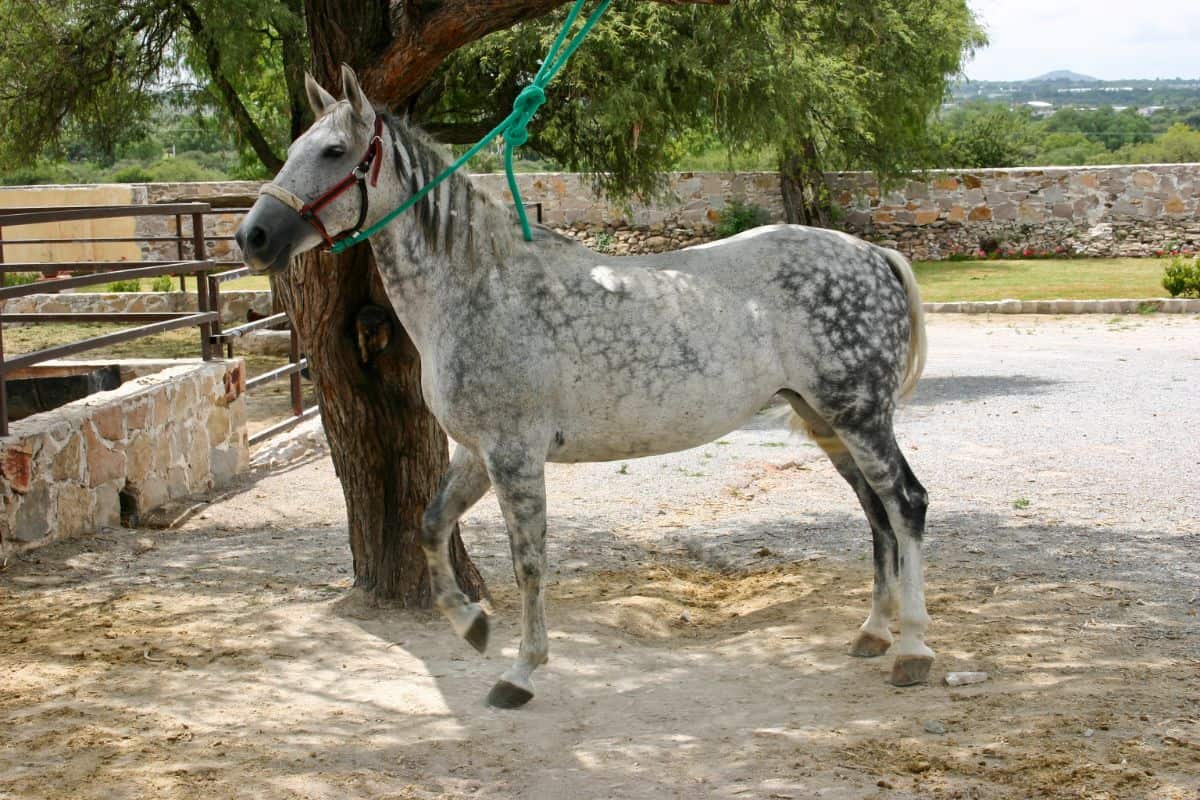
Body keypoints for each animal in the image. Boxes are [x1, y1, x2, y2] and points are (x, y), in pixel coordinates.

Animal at [236, 67, 936, 705]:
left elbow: (528, 561)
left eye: (333, 151)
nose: (253, 236)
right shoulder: (477, 451)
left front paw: (521, 671)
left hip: (859, 417)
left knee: (906, 504)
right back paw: (873, 633)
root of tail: (873, 255)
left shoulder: (515, 455)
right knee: (876, 512)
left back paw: (912, 650)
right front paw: (471, 626)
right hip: (825, 422)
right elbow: (431, 527)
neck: (477, 286)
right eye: (295, 146)